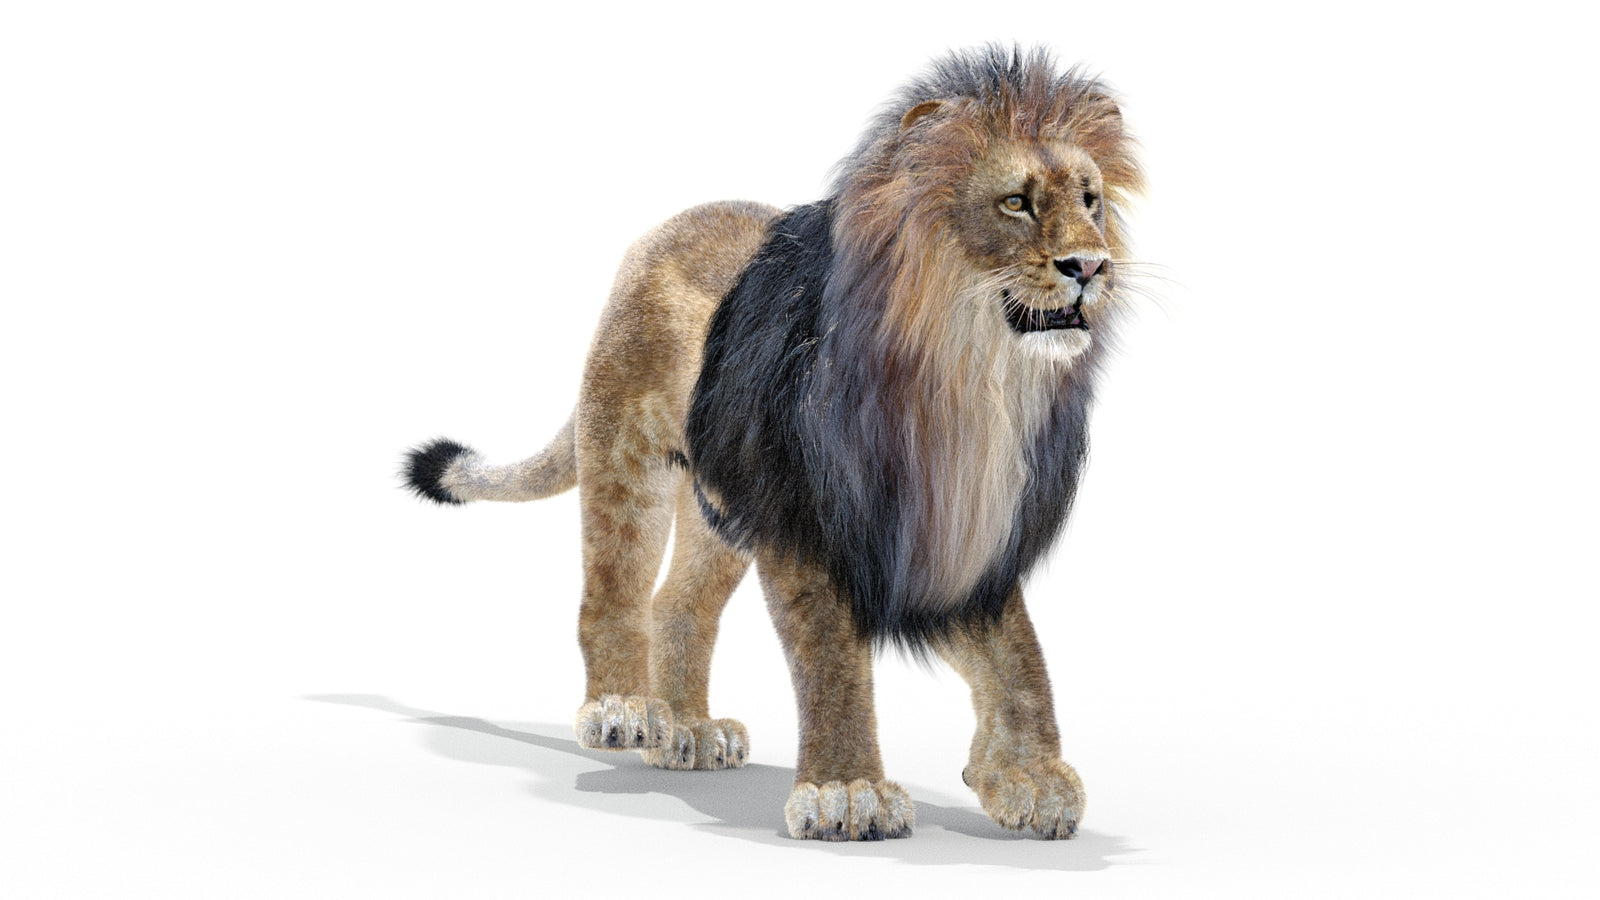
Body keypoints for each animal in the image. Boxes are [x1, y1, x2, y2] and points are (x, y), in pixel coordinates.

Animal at [402, 45, 1145, 841]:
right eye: (1016, 203)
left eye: (1090, 200)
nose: (1090, 265)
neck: (973, 380)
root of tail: (657, 235)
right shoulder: (810, 519)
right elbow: (832, 658)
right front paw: (848, 790)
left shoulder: (957, 533)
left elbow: (1019, 657)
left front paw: (1027, 777)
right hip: (628, 459)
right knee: (613, 592)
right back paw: (622, 710)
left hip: (721, 508)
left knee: (677, 606)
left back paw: (688, 731)